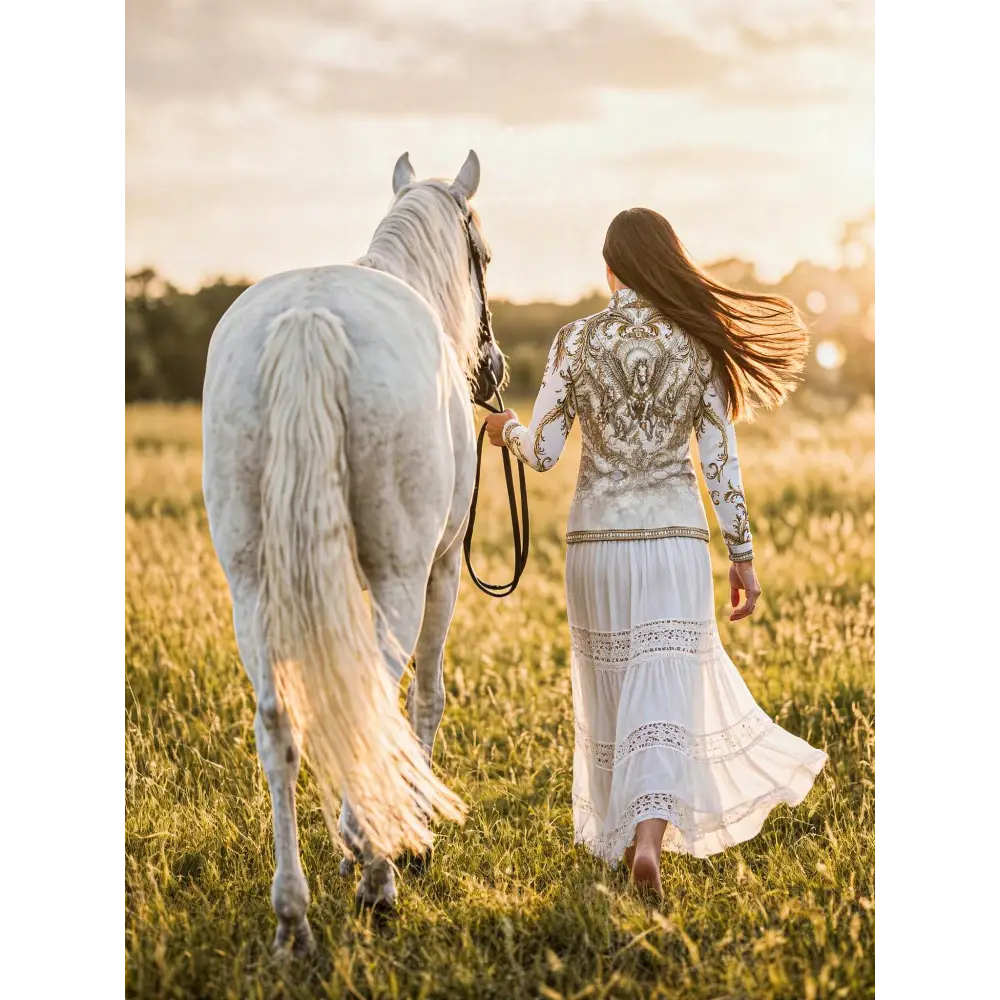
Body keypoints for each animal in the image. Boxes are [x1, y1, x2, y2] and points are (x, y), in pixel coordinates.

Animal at [201, 150, 505, 953]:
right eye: (485, 256)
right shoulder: (438, 572)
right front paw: (401, 838)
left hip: (253, 587)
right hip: (401, 576)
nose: (492, 371)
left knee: (278, 724)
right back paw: (378, 881)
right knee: (376, 696)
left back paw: (293, 917)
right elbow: (424, 695)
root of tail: (308, 321)